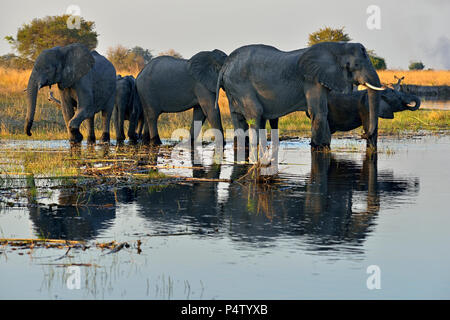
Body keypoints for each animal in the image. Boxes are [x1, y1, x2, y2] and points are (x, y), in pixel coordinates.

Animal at [218, 42, 384, 150]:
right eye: (356, 65)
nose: (364, 135)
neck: (336, 47)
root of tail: (225, 65)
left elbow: (321, 112)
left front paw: (323, 145)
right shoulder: (312, 80)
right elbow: (319, 112)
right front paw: (318, 146)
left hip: (233, 89)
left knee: (238, 117)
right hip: (241, 85)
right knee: (255, 113)